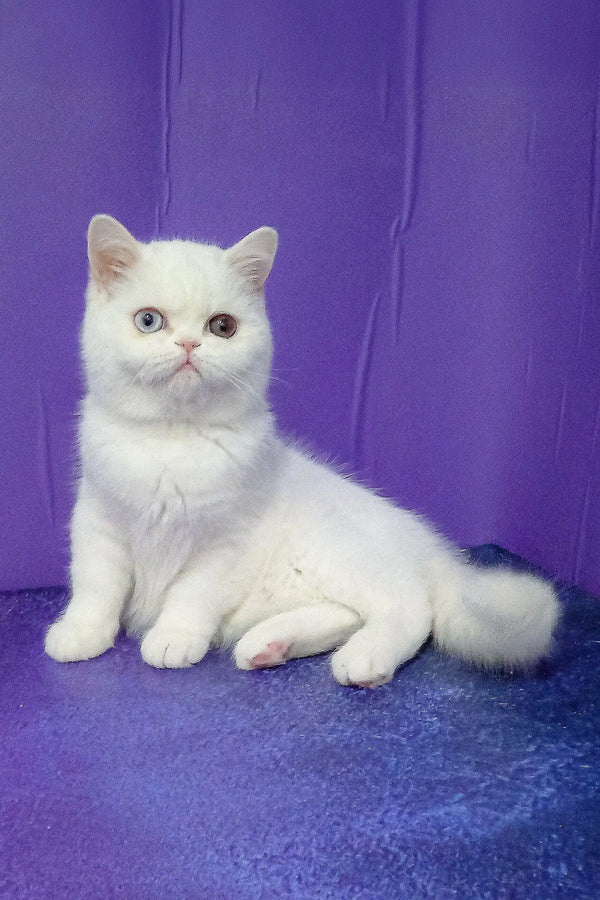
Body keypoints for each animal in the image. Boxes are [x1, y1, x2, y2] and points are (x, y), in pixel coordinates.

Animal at [44, 218, 560, 688]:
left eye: (222, 327)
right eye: (148, 321)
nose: (189, 344)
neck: (173, 441)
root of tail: (430, 548)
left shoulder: (224, 541)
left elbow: (192, 593)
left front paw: (174, 637)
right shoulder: (98, 521)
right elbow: (96, 585)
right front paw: (81, 632)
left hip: (334, 550)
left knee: (410, 605)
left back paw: (364, 659)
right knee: (347, 612)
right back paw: (269, 644)